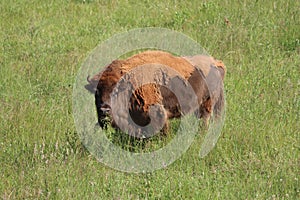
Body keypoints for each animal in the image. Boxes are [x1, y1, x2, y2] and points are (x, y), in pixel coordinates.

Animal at [84, 50, 225, 138]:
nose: (104, 109)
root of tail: (215, 62)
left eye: (116, 91)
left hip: (208, 103)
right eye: (96, 92)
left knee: (205, 119)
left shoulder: (158, 115)